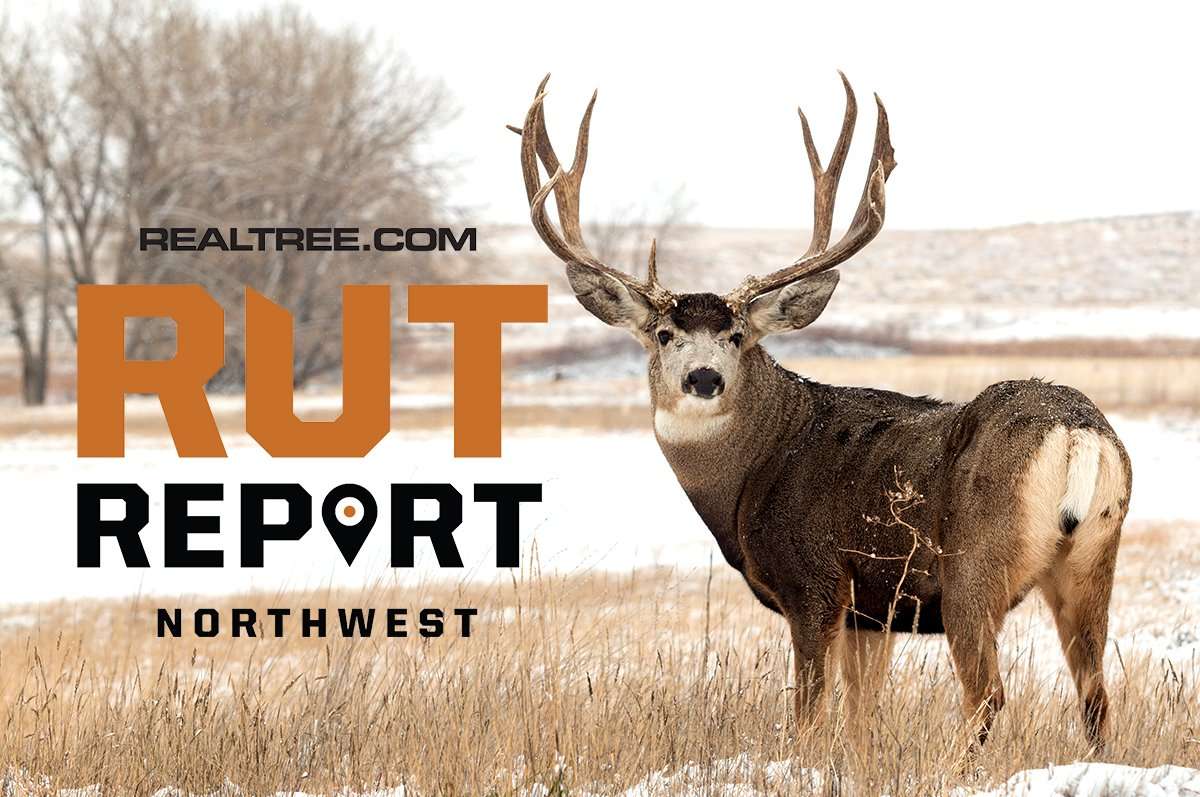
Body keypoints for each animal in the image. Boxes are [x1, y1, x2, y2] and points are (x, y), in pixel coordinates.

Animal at [508, 73, 1131, 752]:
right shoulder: (871, 611)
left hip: (973, 567)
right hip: (1092, 555)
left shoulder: (815, 584)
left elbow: (810, 714)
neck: (756, 469)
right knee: (1097, 697)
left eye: (736, 336)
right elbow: (862, 715)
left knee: (988, 696)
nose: (703, 378)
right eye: (666, 334)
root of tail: (1077, 432)